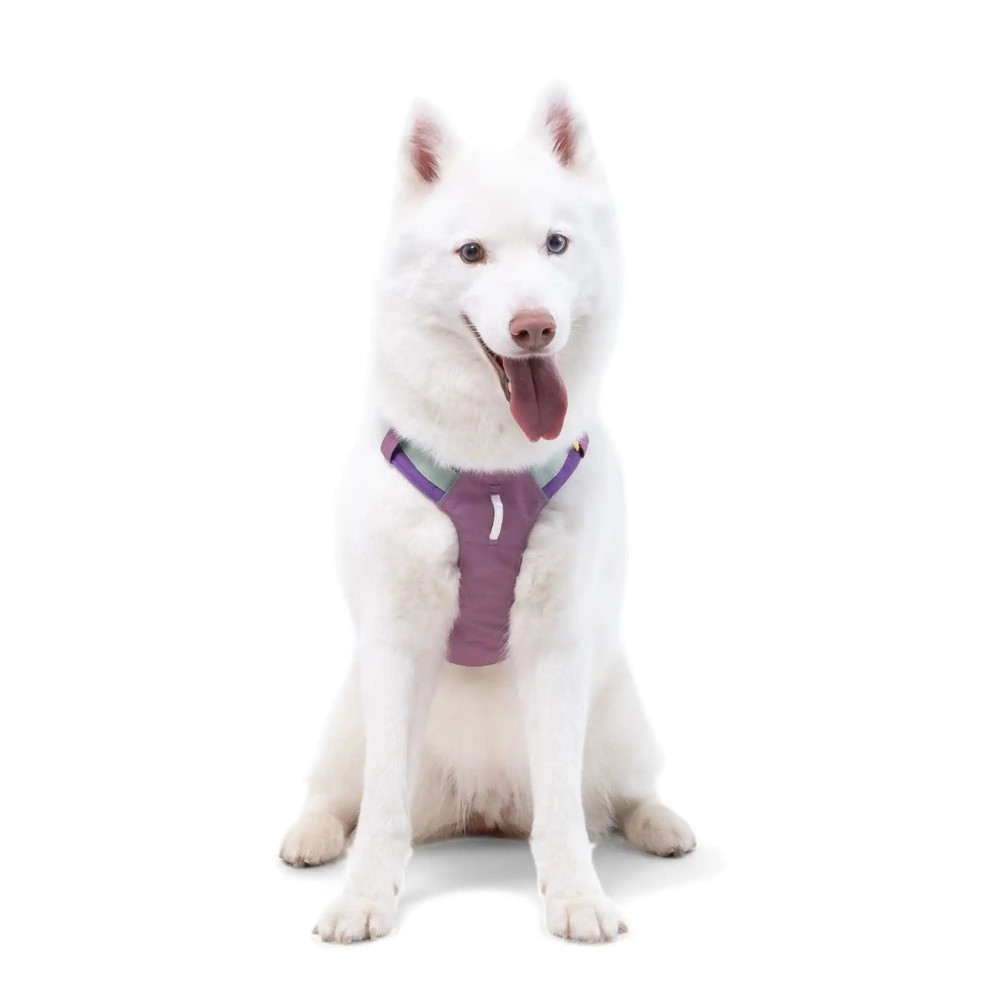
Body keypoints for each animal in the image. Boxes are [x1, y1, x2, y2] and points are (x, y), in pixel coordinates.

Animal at [280, 91, 695, 944]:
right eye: (471, 253)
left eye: (556, 244)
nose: (535, 326)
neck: (492, 472)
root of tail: (484, 808)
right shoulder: (396, 644)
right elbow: (381, 810)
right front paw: (364, 897)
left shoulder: (557, 643)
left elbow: (565, 808)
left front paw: (575, 895)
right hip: (348, 716)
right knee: (337, 793)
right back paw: (311, 835)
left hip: (620, 708)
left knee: (619, 792)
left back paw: (660, 824)